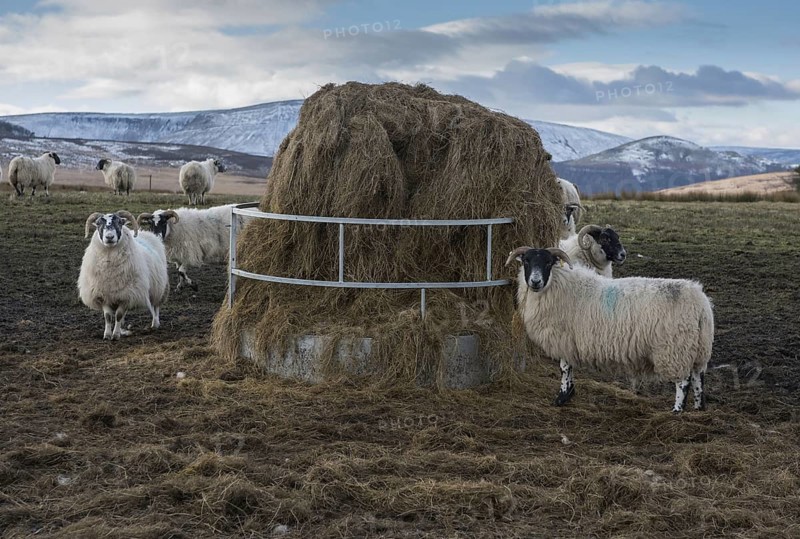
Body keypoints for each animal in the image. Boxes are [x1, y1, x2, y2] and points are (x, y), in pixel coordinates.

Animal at [78, 211, 169, 340]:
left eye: (120, 222)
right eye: (98, 223)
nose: (109, 237)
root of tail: (146, 233)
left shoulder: (127, 295)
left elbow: (119, 315)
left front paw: (115, 335)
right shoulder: (104, 295)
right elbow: (108, 317)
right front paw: (107, 335)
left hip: (157, 288)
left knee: (155, 307)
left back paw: (155, 324)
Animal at [506, 246, 714, 413]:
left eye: (548, 262)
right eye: (526, 261)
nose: (535, 282)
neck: (558, 285)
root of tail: (700, 303)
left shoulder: (564, 338)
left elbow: (564, 368)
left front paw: (561, 397)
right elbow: (569, 369)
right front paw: (569, 394)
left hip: (675, 348)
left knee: (683, 381)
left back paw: (677, 410)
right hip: (698, 347)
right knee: (698, 377)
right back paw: (699, 408)